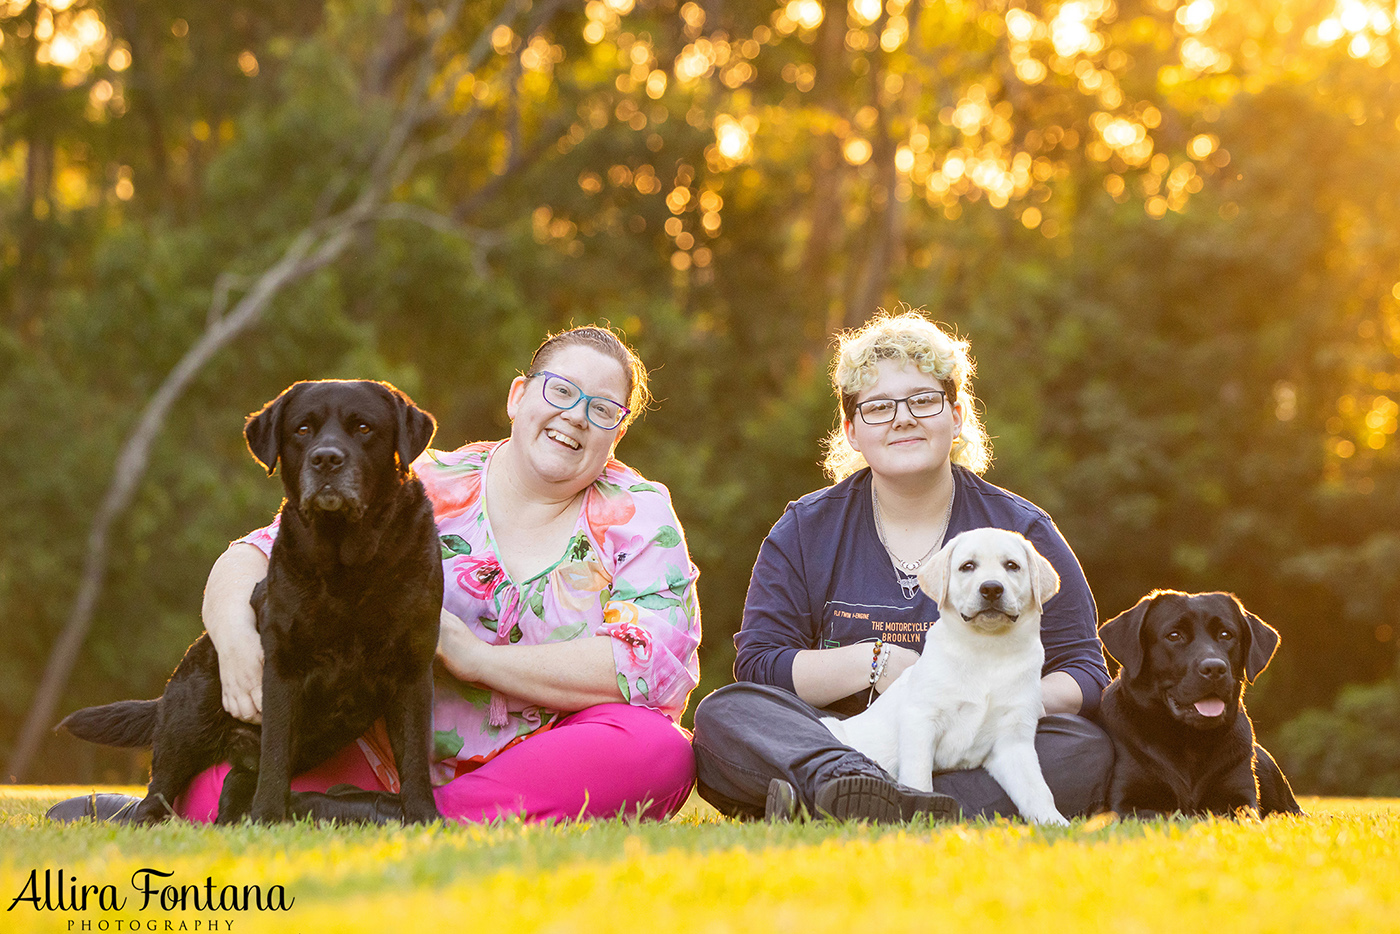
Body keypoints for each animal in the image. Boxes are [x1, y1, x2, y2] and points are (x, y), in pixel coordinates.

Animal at [817, 532, 1064, 823]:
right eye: (967, 566)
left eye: (1012, 566)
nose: (991, 589)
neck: (988, 649)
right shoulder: (921, 719)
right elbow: (919, 776)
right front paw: (922, 810)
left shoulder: (1013, 738)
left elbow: (1036, 789)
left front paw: (1056, 824)